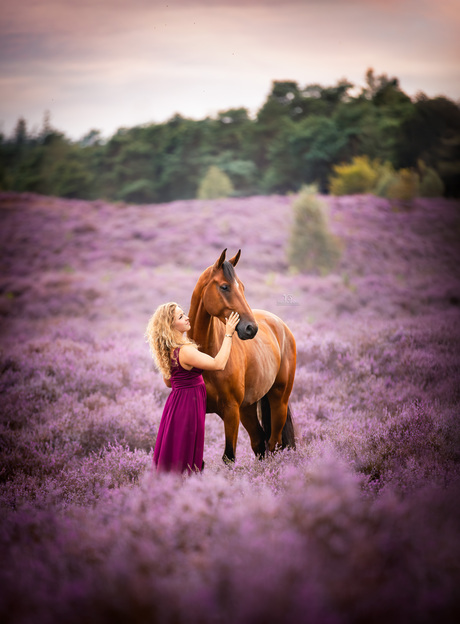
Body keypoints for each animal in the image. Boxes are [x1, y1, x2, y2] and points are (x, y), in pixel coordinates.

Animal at [189, 249, 296, 464]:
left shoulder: (231, 411)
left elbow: (229, 457)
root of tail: (281, 325)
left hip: (278, 400)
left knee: (274, 443)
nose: (251, 328)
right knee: (259, 443)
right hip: (247, 408)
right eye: (224, 286)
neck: (209, 357)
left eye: (243, 287)